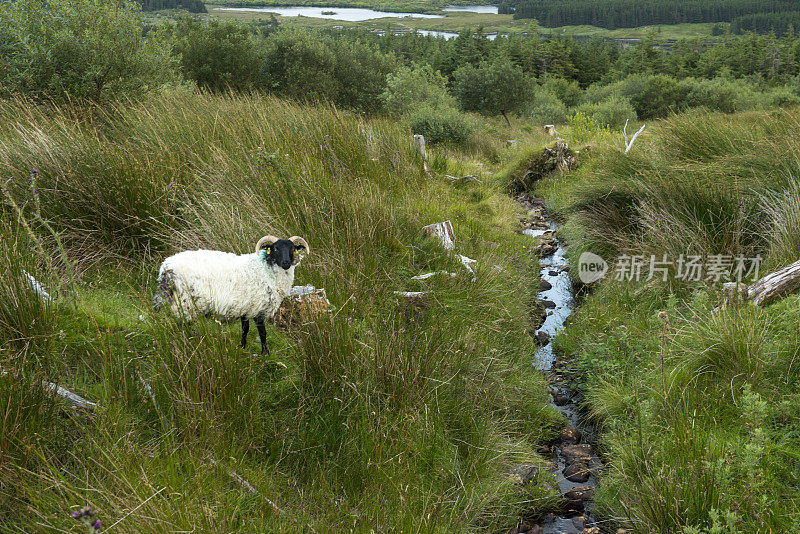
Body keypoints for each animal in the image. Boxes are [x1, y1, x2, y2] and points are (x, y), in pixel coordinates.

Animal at [152, 236, 310, 356]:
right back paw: (188, 342)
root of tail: (166, 268)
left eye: (292, 249)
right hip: (186, 303)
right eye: (275, 248)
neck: (266, 269)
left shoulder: (246, 308)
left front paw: (242, 347)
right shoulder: (259, 308)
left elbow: (245, 329)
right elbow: (263, 333)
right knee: (182, 324)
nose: (286, 263)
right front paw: (265, 353)